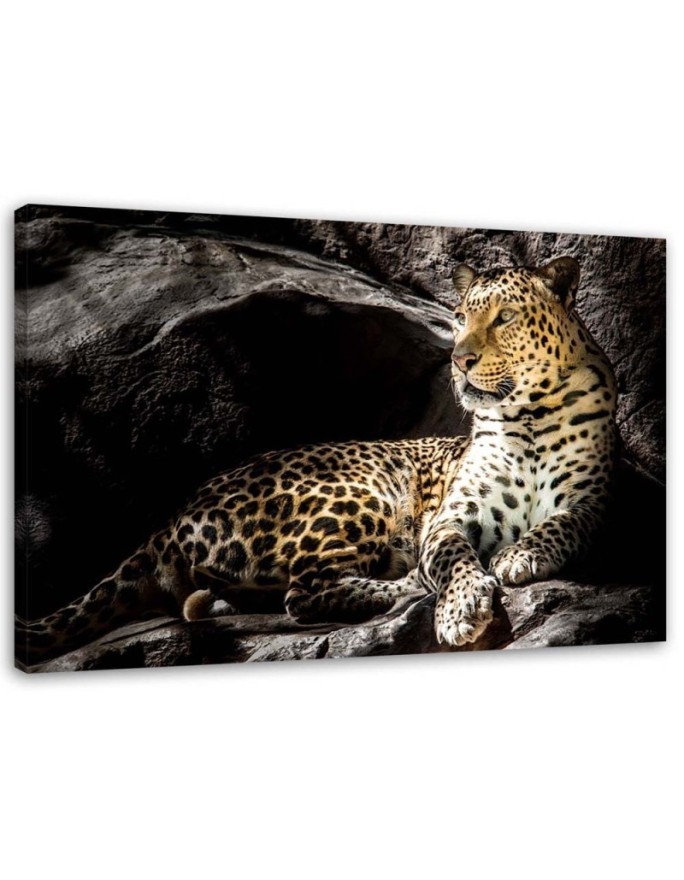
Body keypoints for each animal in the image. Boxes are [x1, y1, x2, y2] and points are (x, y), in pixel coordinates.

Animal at [15, 256, 617, 668]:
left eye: (506, 316)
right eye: (460, 317)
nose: (459, 359)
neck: (529, 415)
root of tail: (173, 513)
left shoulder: (593, 504)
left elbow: (563, 523)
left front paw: (523, 554)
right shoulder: (451, 516)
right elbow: (450, 557)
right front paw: (461, 607)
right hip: (363, 493)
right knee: (305, 595)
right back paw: (409, 585)